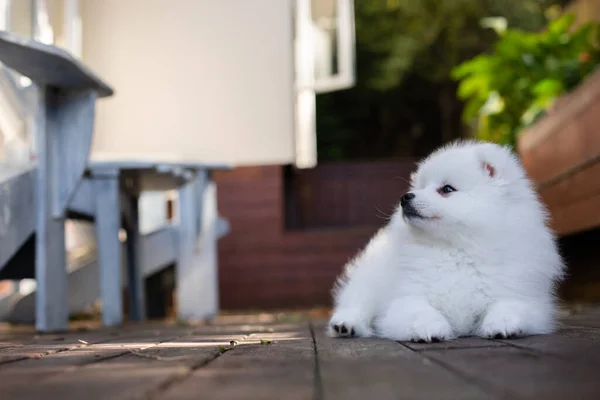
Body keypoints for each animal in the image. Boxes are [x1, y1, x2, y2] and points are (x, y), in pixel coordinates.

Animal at [326, 140, 564, 340]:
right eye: (421, 187)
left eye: (447, 189)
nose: (406, 197)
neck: (456, 249)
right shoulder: (404, 298)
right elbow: (419, 309)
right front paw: (429, 327)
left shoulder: (525, 295)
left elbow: (509, 305)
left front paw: (503, 323)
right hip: (369, 282)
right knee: (356, 303)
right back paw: (346, 325)